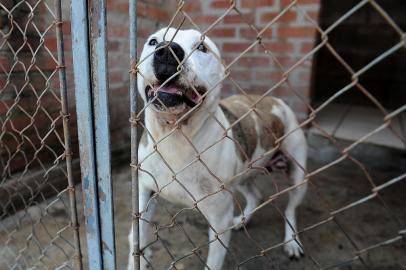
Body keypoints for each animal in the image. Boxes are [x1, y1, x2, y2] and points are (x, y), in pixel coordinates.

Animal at [127, 28, 308, 270]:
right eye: (153, 41)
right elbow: (138, 238)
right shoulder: (144, 194)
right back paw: (241, 221)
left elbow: (213, 261)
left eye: (202, 47)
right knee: (255, 195)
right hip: (244, 174)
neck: (175, 138)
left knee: (290, 209)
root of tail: (275, 100)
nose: (167, 50)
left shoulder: (219, 223)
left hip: (298, 176)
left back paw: (292, 242)